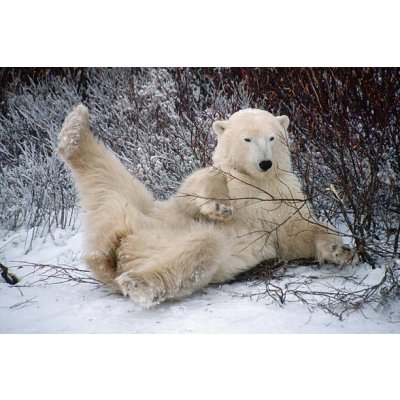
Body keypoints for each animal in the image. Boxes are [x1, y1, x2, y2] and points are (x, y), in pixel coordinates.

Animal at [57, 104, 356, 308]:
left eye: (272, 137)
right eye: (247, 138)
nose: (265, 163)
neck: (258, 180)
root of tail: (118, 251)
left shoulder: (282, 196)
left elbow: (295, 233)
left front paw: (339, 249)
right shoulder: (228, 183)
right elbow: (197, 188)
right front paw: (218, 206)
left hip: (131, 218)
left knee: (105, 180)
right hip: (153, 217)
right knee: (201, 242)